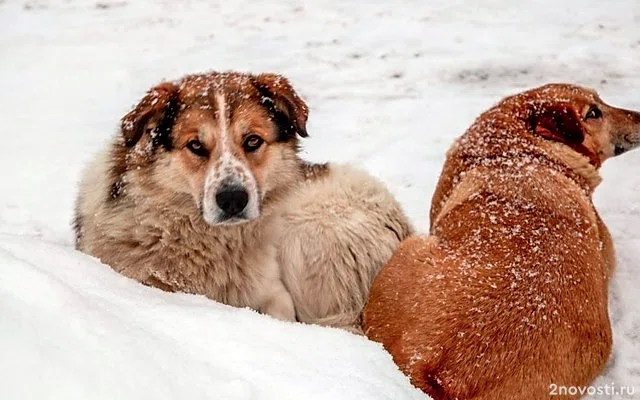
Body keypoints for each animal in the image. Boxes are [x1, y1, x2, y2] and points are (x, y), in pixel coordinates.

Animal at [74, 70, 410, 330]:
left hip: (306, 232)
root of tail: (406, 229)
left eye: (252, 141)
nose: (233, 199)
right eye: (195, 145)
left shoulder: (276, 295)